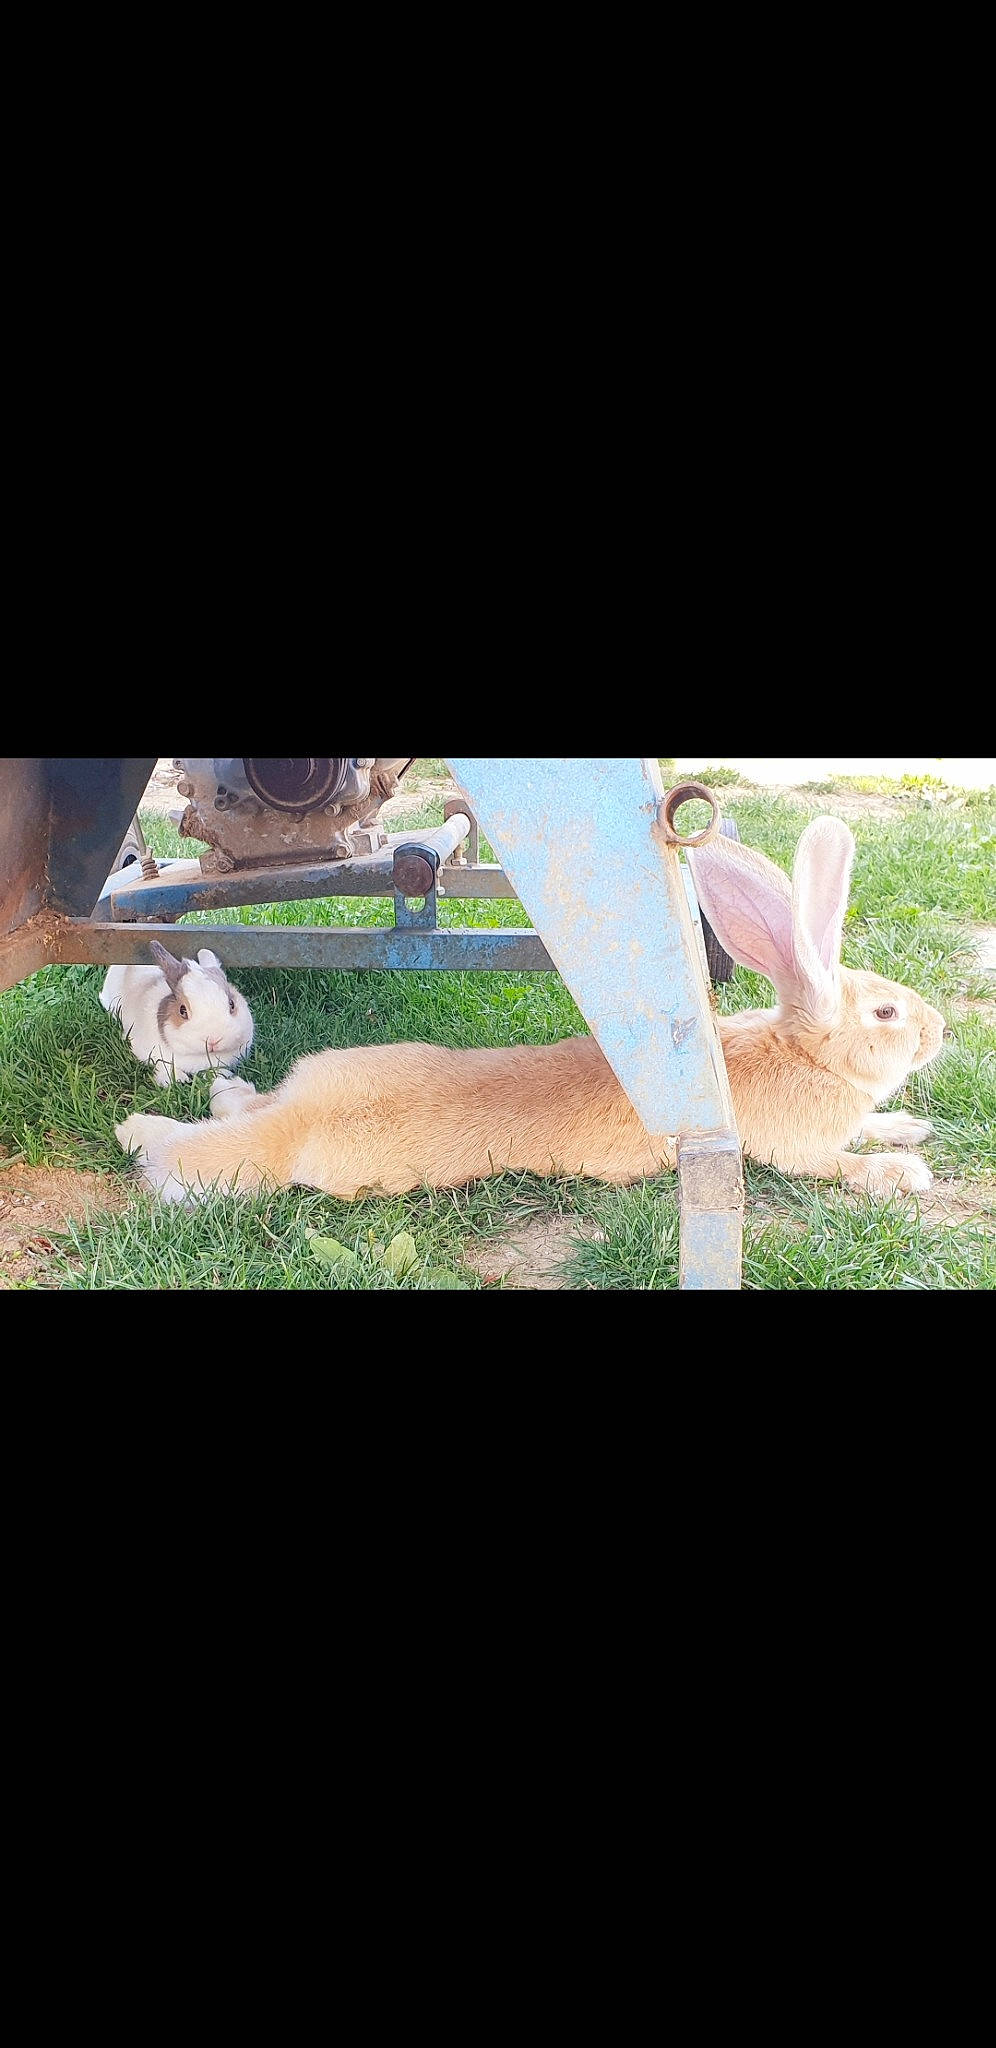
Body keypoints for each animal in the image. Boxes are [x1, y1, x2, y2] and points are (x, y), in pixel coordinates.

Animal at [101, 941, 254, 1087]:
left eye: (231, 1004)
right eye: (182, 1010)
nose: (213, 1040)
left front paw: (222, 1076)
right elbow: (164, 1065)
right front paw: (176, 1080)